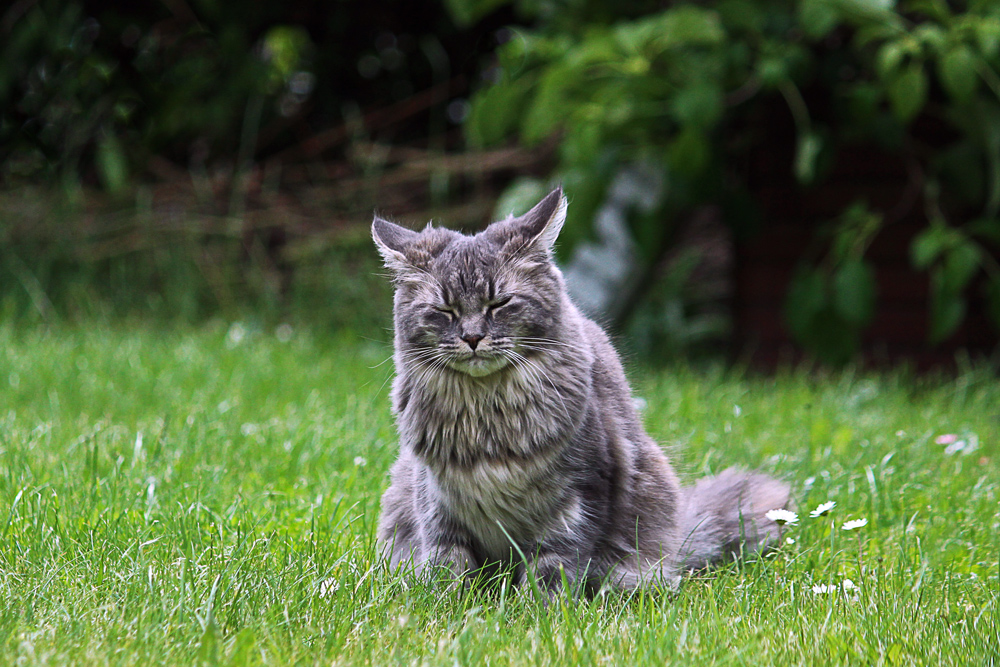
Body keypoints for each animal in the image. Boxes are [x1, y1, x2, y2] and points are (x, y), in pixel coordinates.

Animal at [374, 188, 788, 596]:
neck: (487, 414)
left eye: (500, 303)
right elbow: (449, 564)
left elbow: (552, 565)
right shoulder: (436, 498)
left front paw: (538, 608)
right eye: (445, 310)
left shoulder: (578, 492)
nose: (473, 337)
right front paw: (450, 603)